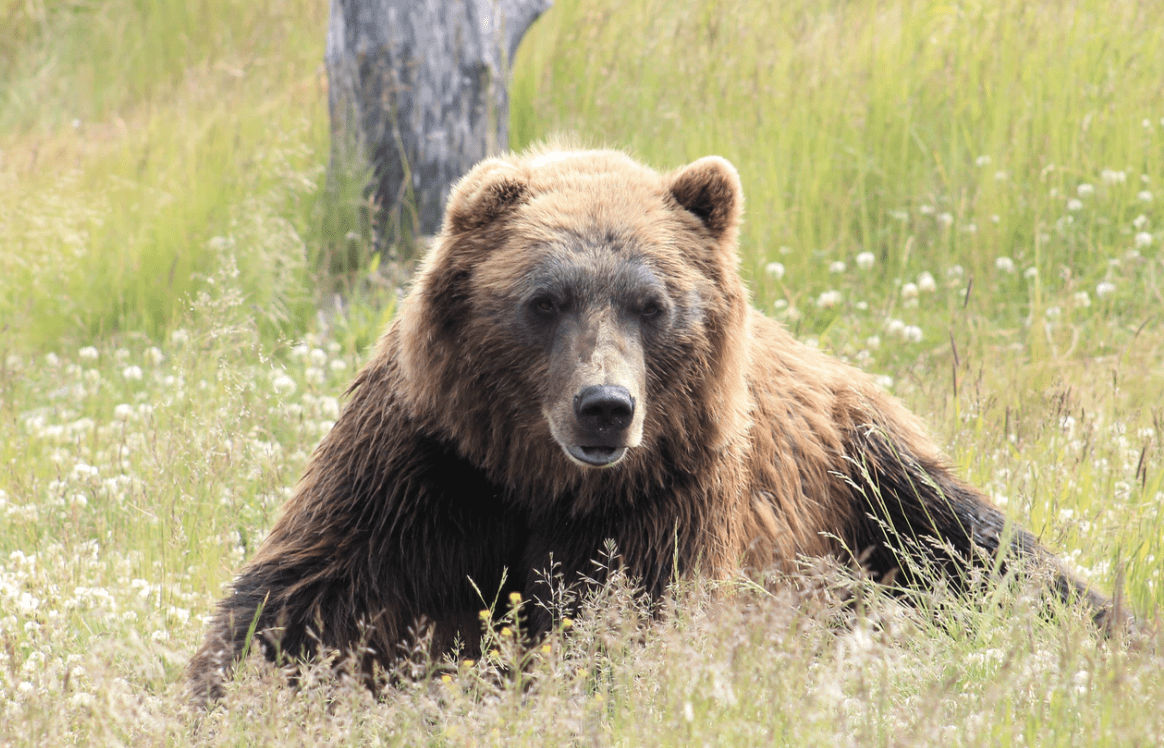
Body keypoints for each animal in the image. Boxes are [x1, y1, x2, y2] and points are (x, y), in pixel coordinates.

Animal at [186, 146, 1112, 702]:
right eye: (545, 299)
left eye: (652, 303)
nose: (605, 405)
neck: (541, 481)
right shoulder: (428, 468)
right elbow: (306, 602)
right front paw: (228, 691)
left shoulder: (665, 496)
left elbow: (627, 627)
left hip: (870, 477)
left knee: (992, 555)